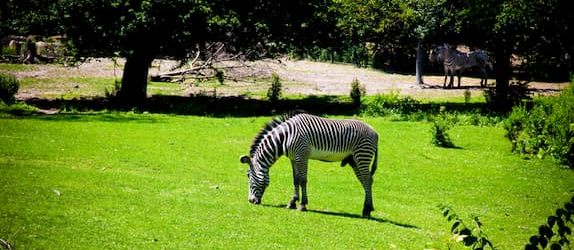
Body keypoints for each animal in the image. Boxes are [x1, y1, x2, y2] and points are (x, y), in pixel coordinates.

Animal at [241, 110, 380, 218]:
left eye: (248, 175)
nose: (251, 201)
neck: (284, 137)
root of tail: (375, 132)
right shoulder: (294, 158)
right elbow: (295, 179)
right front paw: (292, 202)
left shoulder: (302, 156)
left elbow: (303, 180)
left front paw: (302, 205)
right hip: (354, 160)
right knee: (365, 180)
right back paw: (368, 208)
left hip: (362, 155)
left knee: (367, 180)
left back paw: (367, 210)